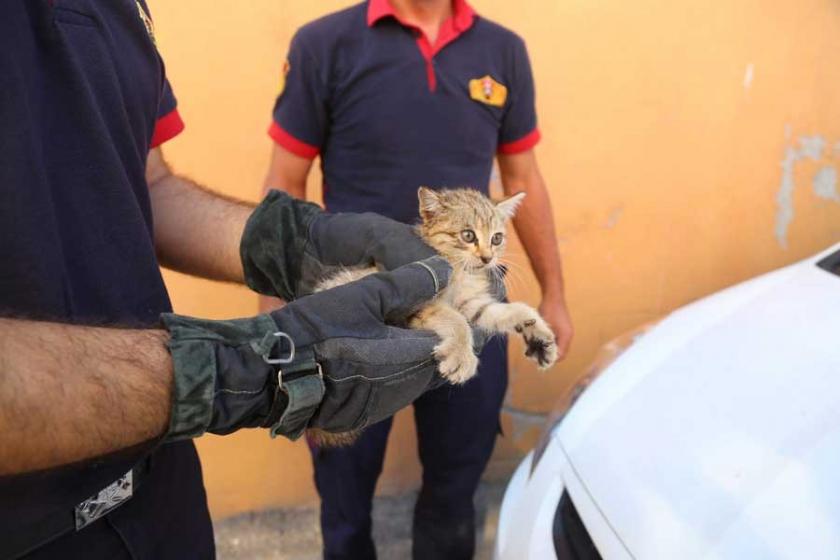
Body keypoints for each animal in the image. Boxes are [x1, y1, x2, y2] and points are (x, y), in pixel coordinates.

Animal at [308, 188, 556, 446]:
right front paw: (461, 356)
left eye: (496, 239)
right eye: (468, 235)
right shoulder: (419, 303)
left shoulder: (474, 305)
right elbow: (456, 320)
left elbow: (505, 311)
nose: (488, 258)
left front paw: (538, 334)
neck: (460, 273)